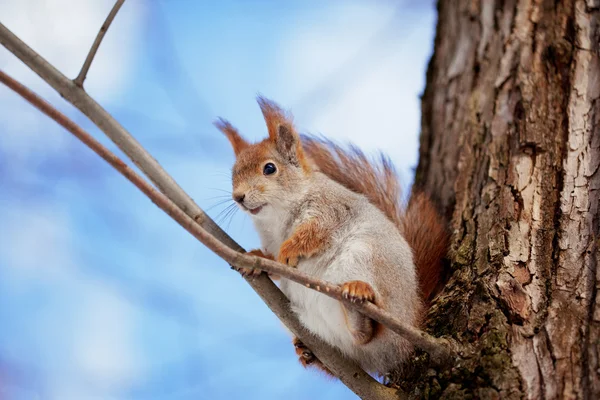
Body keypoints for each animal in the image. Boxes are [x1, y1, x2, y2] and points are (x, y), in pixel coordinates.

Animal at [213, 96, 448, 376]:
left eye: (269, 168)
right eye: (233, 173)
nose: (238, 197)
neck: (276, 217)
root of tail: (414, 315)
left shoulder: (331, 209)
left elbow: (315, 233)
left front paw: (287, 252)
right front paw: (258, 260)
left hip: (367, 257)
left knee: (372, 331)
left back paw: (358, 297)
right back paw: (309, 351)